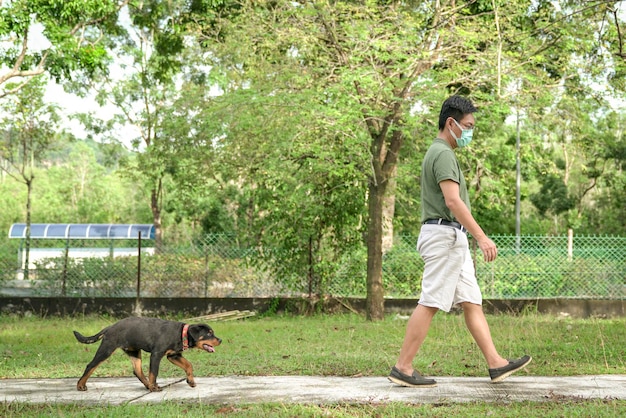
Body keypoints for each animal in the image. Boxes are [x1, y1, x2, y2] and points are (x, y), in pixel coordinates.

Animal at [73, 316, 221, 392]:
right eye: (209, 334)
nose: (220, 340)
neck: (181, 334)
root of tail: (110, 327)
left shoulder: (173, 355)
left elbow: (188, 365)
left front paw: (191, 381)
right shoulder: (156, 354)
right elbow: (153, 372)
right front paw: (154, 387)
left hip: (134, 352)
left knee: (137, 371)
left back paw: (147, 386)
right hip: (107, 349)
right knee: (91, 365)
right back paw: (80, 385)